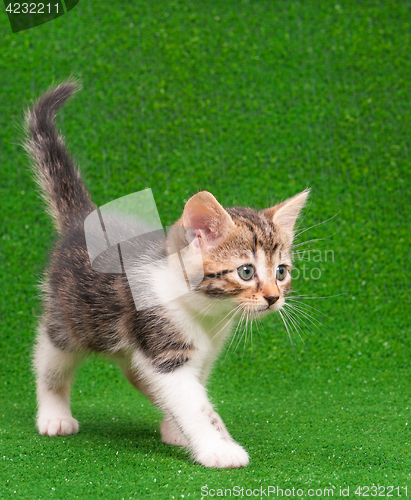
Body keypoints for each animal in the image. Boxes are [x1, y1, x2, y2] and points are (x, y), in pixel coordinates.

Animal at [25, 81, 308, 468]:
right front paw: (219, 449)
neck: (205, 314)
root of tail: (84, 221)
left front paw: (177, 430)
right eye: (246, 271)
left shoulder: (201, 353)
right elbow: (193, 402)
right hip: (70, 317)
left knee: (134, 370)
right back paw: (53, 415)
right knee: (50, 357)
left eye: (281, 271)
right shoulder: (163, 343)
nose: (273, 297)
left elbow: (194, 391)